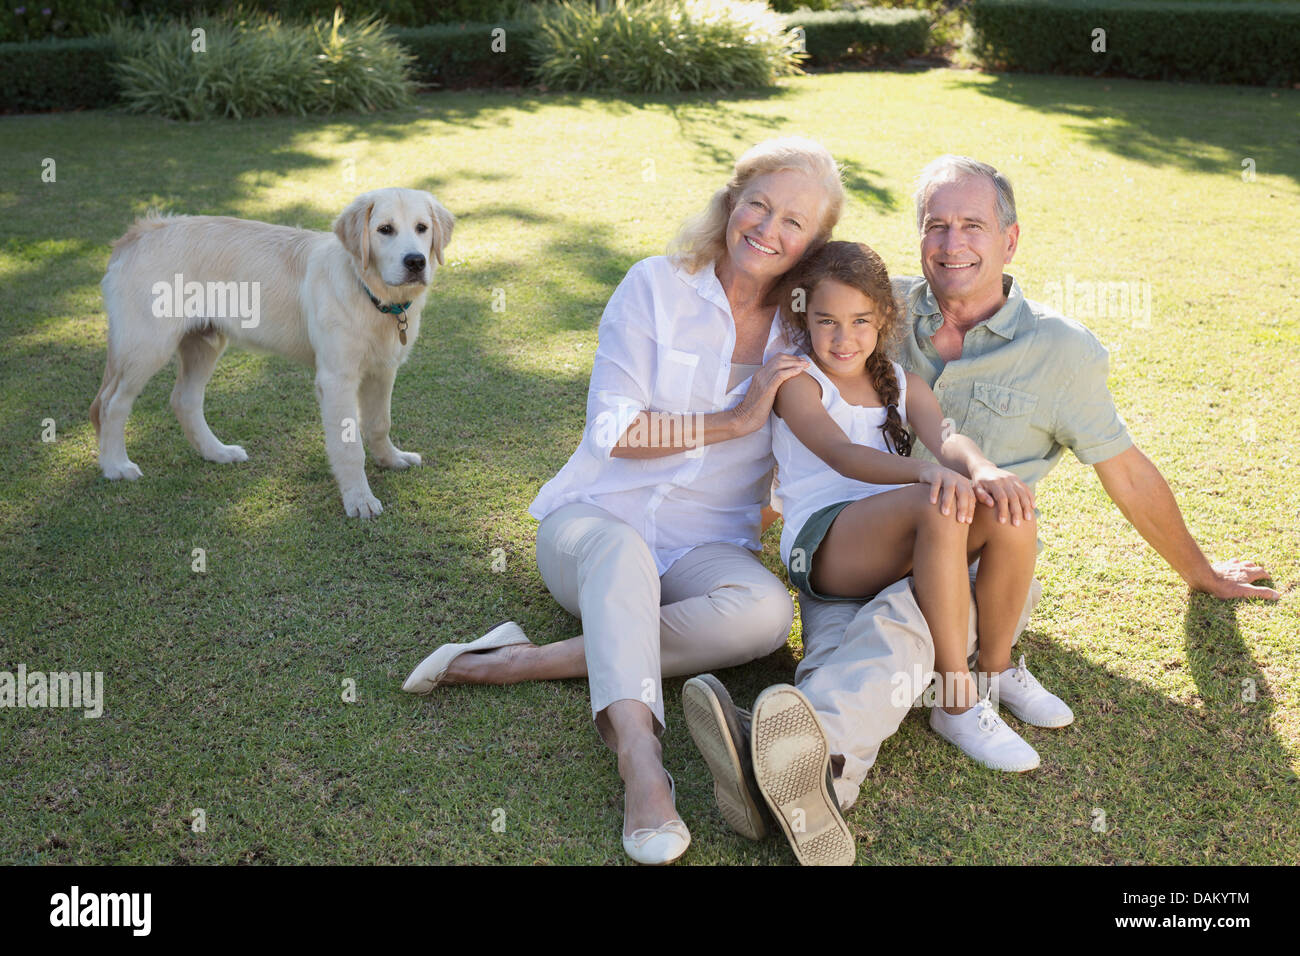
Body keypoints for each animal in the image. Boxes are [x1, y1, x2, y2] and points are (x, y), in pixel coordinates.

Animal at [87, 187, 452, 515]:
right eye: (385, 229)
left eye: (422, 228)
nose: (416, 262)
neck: (371, 294)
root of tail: (139, 232)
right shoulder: (337, 379)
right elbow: (349, 446)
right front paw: (359, 499)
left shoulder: (383, 369)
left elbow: (379, 423)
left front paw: (391, 459)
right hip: (146, 346)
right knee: (110, 404)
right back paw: (116, 466)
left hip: (204, 342)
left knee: (184, 400)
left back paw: (217, 452)